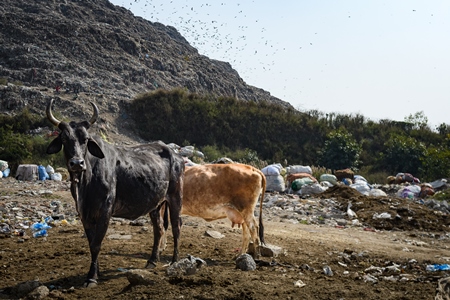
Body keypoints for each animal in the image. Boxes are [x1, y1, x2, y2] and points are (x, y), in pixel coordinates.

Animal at [45, 99, 185, 288]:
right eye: (64, 139)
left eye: (85, 139)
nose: (77, 163)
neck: (86, 181)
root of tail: (175, 155)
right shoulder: (84, 214)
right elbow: (91, 243)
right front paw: (95, 272)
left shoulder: (105, 210)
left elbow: (96, 244)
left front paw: (92, 277)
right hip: (156, 205)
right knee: (159, 230)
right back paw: (152, 261)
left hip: (176, 197)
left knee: (177, 227)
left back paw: (174, 261)